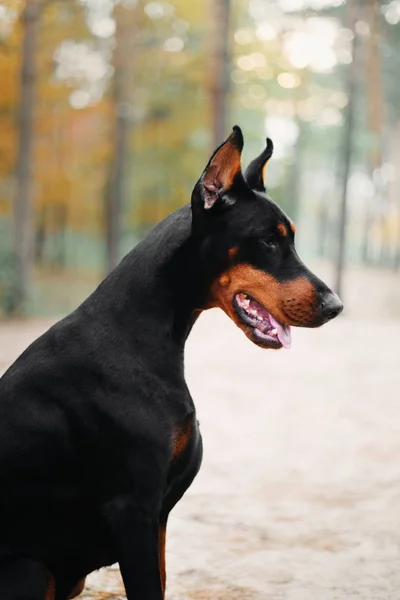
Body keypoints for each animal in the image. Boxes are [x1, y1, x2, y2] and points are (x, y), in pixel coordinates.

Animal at [0, 125, 344, 596]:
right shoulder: (133, 509)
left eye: (289, 237)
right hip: (30, 568)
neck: (141, 335)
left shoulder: (158, 517)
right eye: (270, 240)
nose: (336, 306)